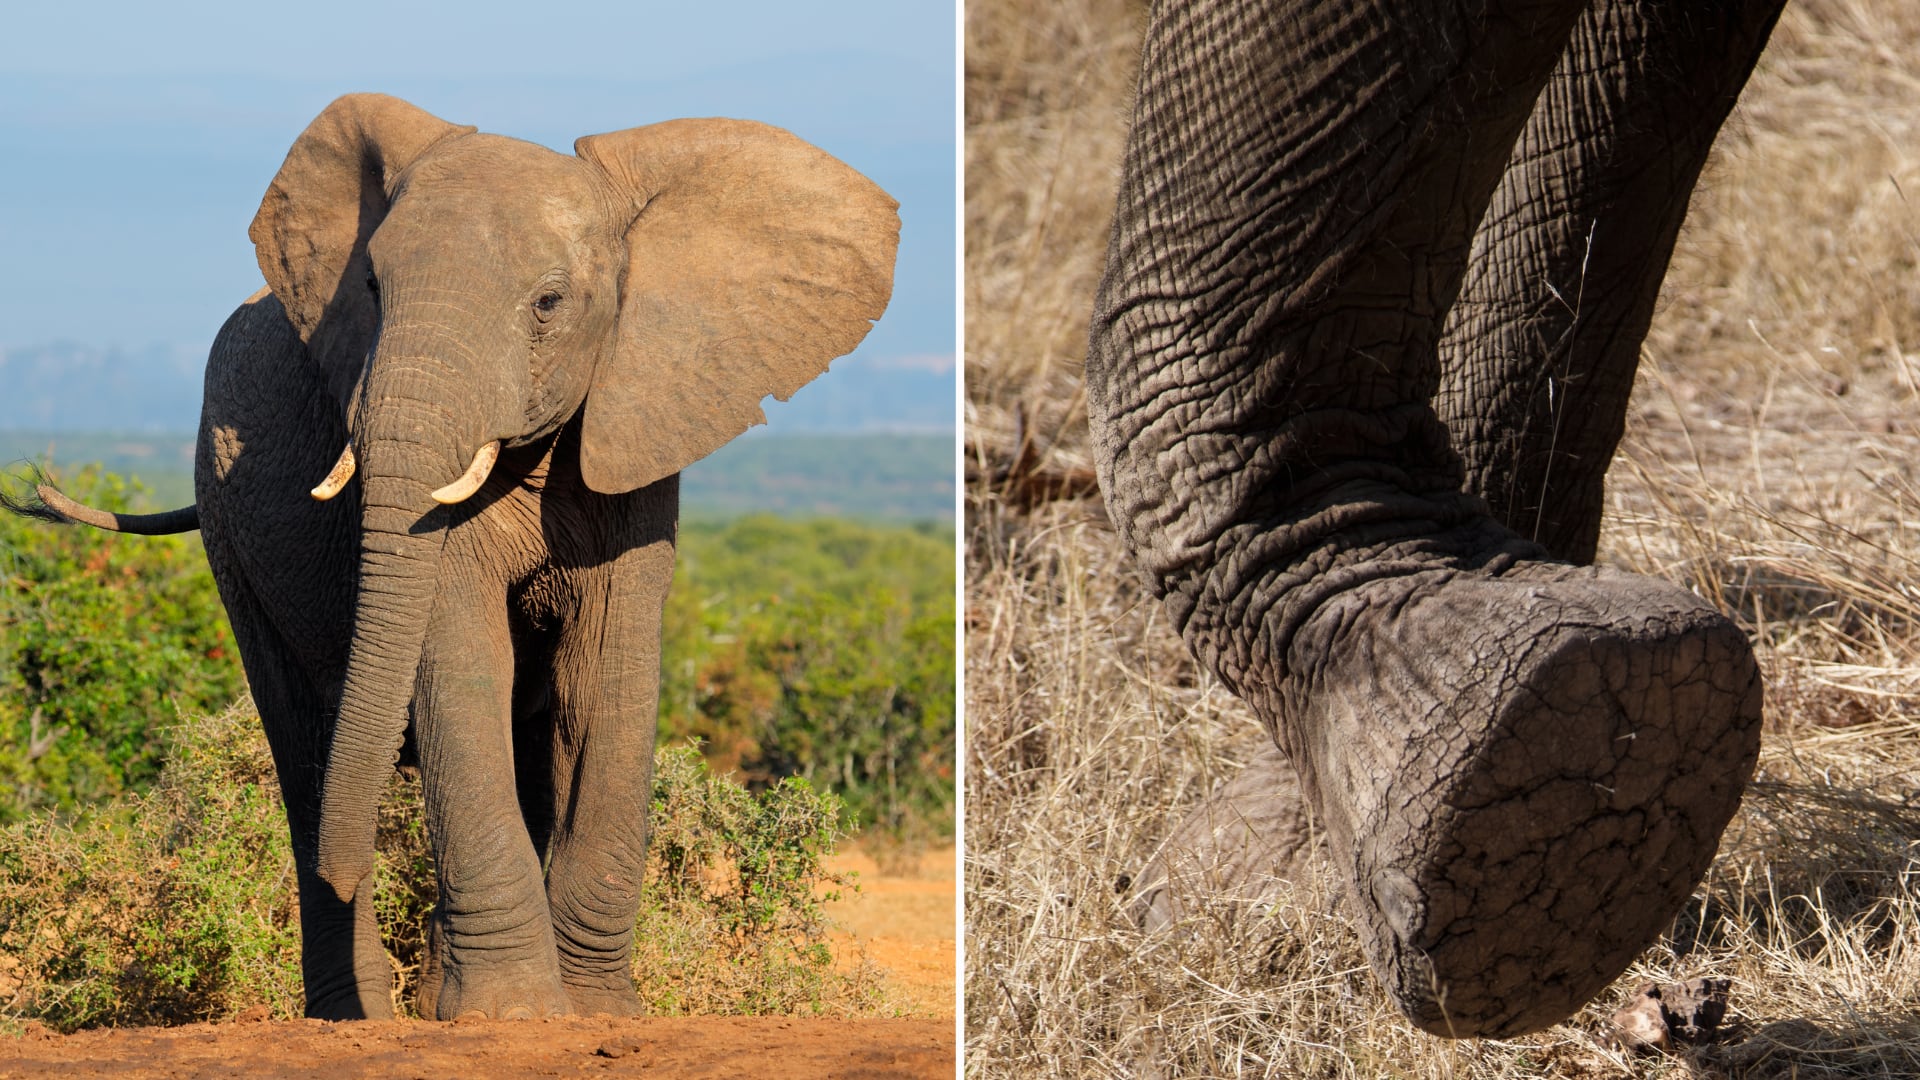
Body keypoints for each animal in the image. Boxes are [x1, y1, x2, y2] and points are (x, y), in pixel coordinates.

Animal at [8, 93, 898, 1020]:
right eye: (369, 286)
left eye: (549, 303)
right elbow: (461, 658)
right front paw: (510, 1015)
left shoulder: (639, 427)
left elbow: (605, 673)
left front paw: (593, 1014)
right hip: (225, 514)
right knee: (302, 742)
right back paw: (354, 1010)